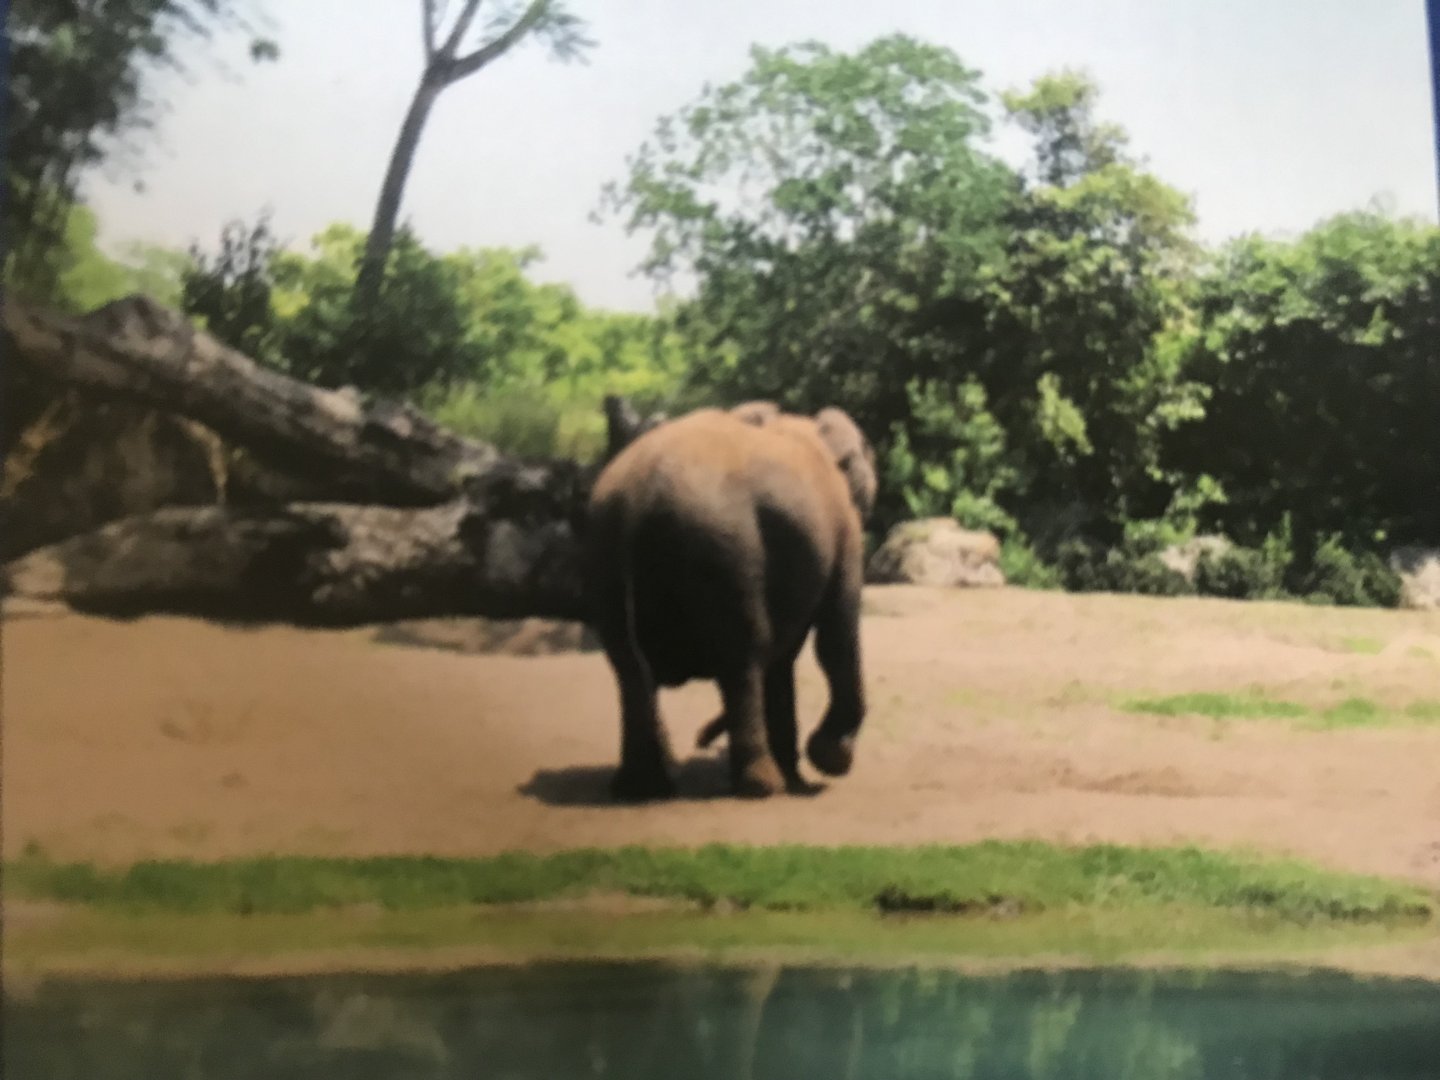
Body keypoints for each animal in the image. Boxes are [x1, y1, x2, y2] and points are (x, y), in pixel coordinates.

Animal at [584, 403, 878, 800]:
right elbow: (836, 637)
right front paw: (830, 759)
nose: (701, 739)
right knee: (744, 658)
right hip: (725, 550)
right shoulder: (843, 526)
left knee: (629, 668)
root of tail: (636, 500)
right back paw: (762, 786)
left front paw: (802, 770)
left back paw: (643, 787)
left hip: (606, 557)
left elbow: (786, 658)